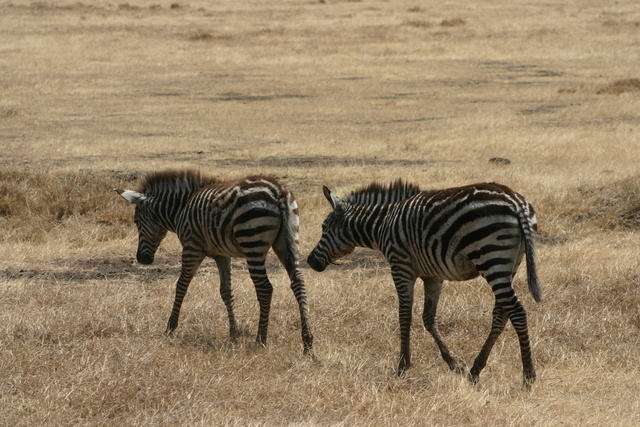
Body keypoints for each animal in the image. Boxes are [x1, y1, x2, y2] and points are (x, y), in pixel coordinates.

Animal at [117, 169, 316, 356]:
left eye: (136, 221)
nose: (142, 259)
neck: (182, 206)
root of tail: (278, 191)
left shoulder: (192, 247)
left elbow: (181, 285)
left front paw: (170, 328)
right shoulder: (222, 255)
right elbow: (226, 292)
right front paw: (233, 335)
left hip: (252, 240)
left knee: (265, 288)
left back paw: (260, 340)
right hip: (287, 241)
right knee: (298, 282)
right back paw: (307, 343)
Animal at [308, 181, 544, 388]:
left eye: (324, 227)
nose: (310, 261)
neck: (382, 224)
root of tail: (517, 203)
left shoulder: (400, 267)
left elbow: (404, 315)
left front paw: (402, 366)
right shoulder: (433, 276)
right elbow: (428, 318)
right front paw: (454, 365)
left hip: (491, 256)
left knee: (517, 311)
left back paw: (528, 376)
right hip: (510, 263)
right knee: (501, 314)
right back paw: (475, 370)